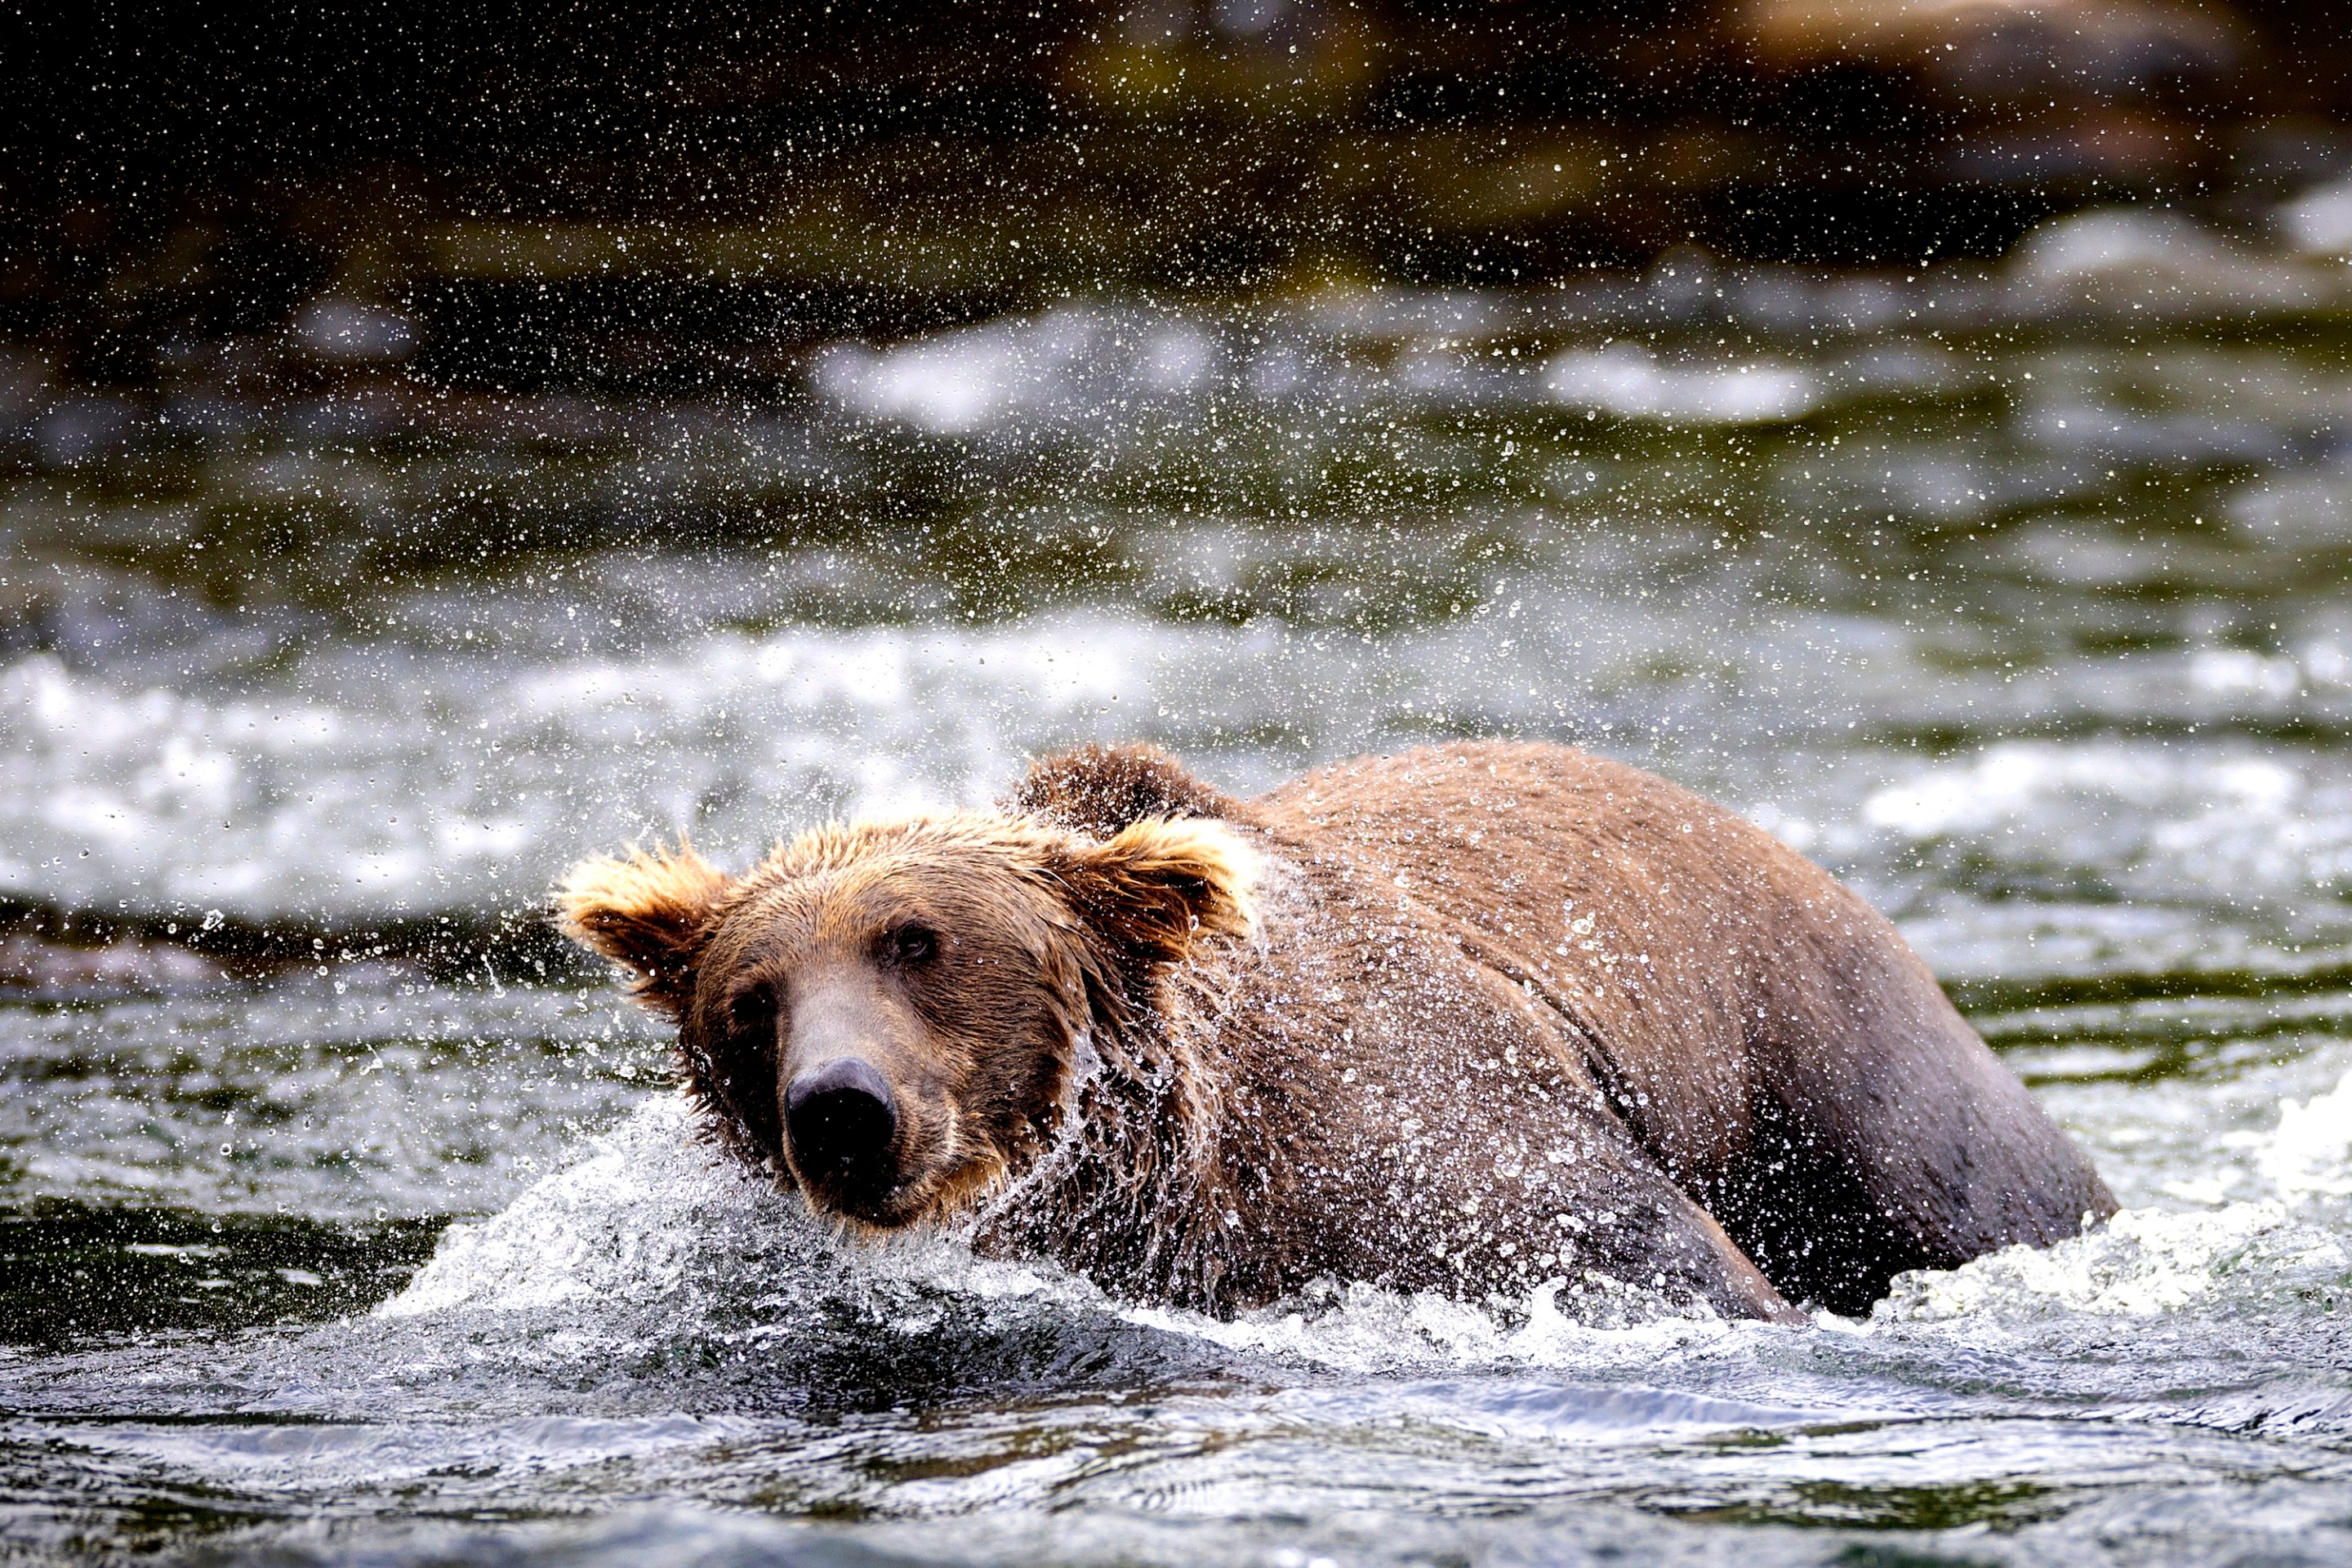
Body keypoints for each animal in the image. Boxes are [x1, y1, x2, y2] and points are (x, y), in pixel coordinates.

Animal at [564, 747, 2117, 1325]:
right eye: (751, 1000)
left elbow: (1647, 1257)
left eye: (920, 943)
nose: (841, 1105)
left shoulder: (1424, 1148)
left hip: (1839, 1064)